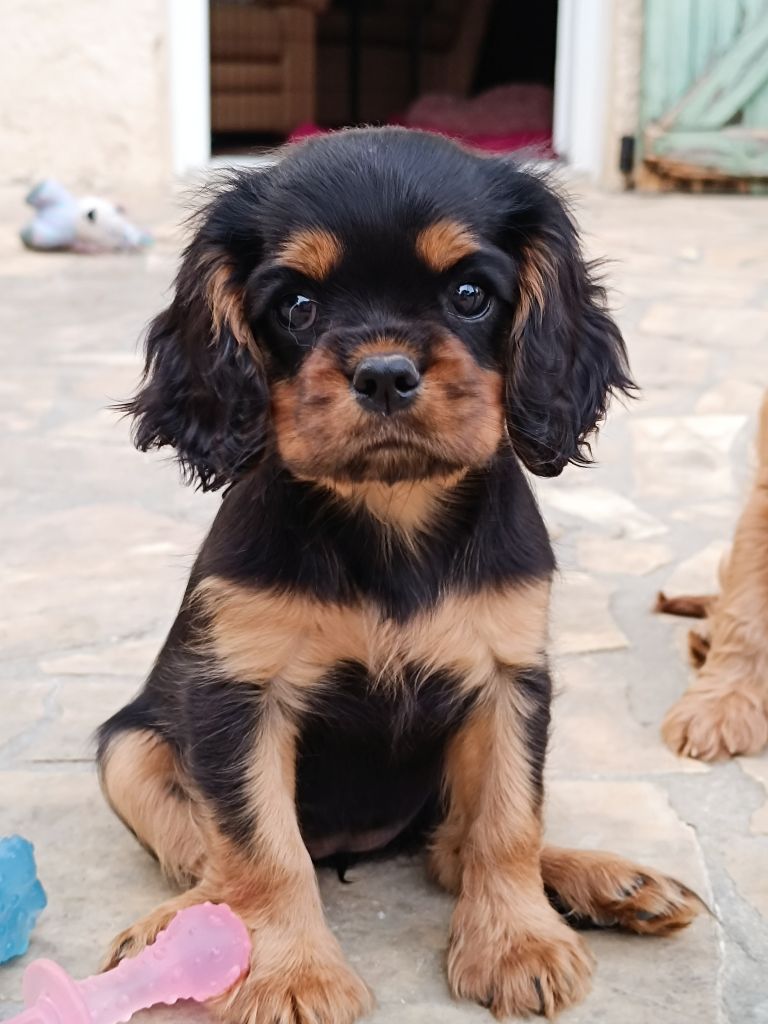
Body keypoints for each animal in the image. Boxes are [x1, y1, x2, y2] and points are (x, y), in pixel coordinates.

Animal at [96, 130, 704, 1024]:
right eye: (297, 306)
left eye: (470, 294)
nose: (384, 372)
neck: (391, 517)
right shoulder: (237, 698)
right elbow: (261, 848)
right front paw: (292, 975)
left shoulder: (510, 680)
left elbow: (508, 824)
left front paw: (516, 944)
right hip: (131, 749)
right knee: (209, 861)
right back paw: (175, 927)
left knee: (452, 848)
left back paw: (607, 882)